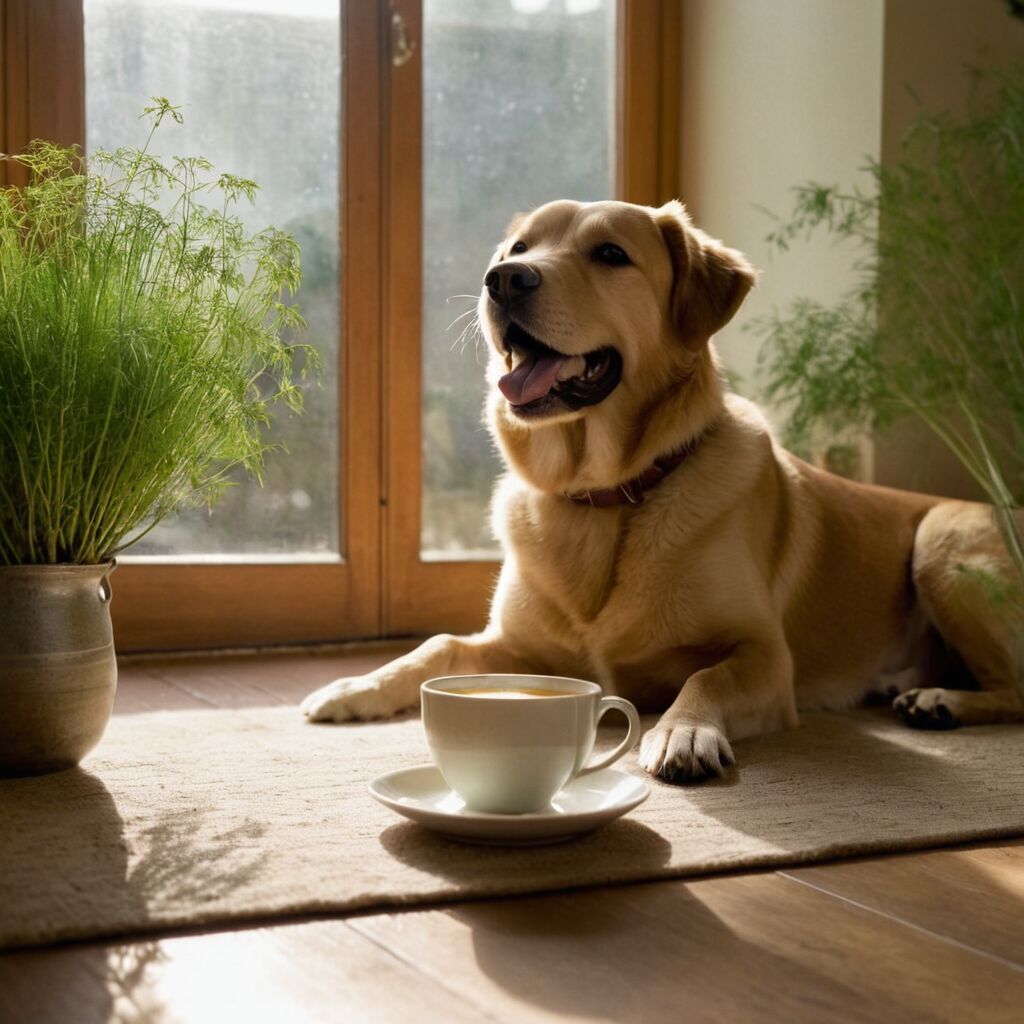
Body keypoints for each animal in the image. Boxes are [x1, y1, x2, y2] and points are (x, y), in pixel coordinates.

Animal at [299, 195, 1019, 778]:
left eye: (611, 254)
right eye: (519, 248)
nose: (502, 280)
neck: (604, 494)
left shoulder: (765, 657)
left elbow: (704, 675)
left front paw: (683, 733)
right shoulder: (514, 646)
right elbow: (437, 645)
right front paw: (353, 689)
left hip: (941, 544)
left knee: (1018, 686)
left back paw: (941, 701)